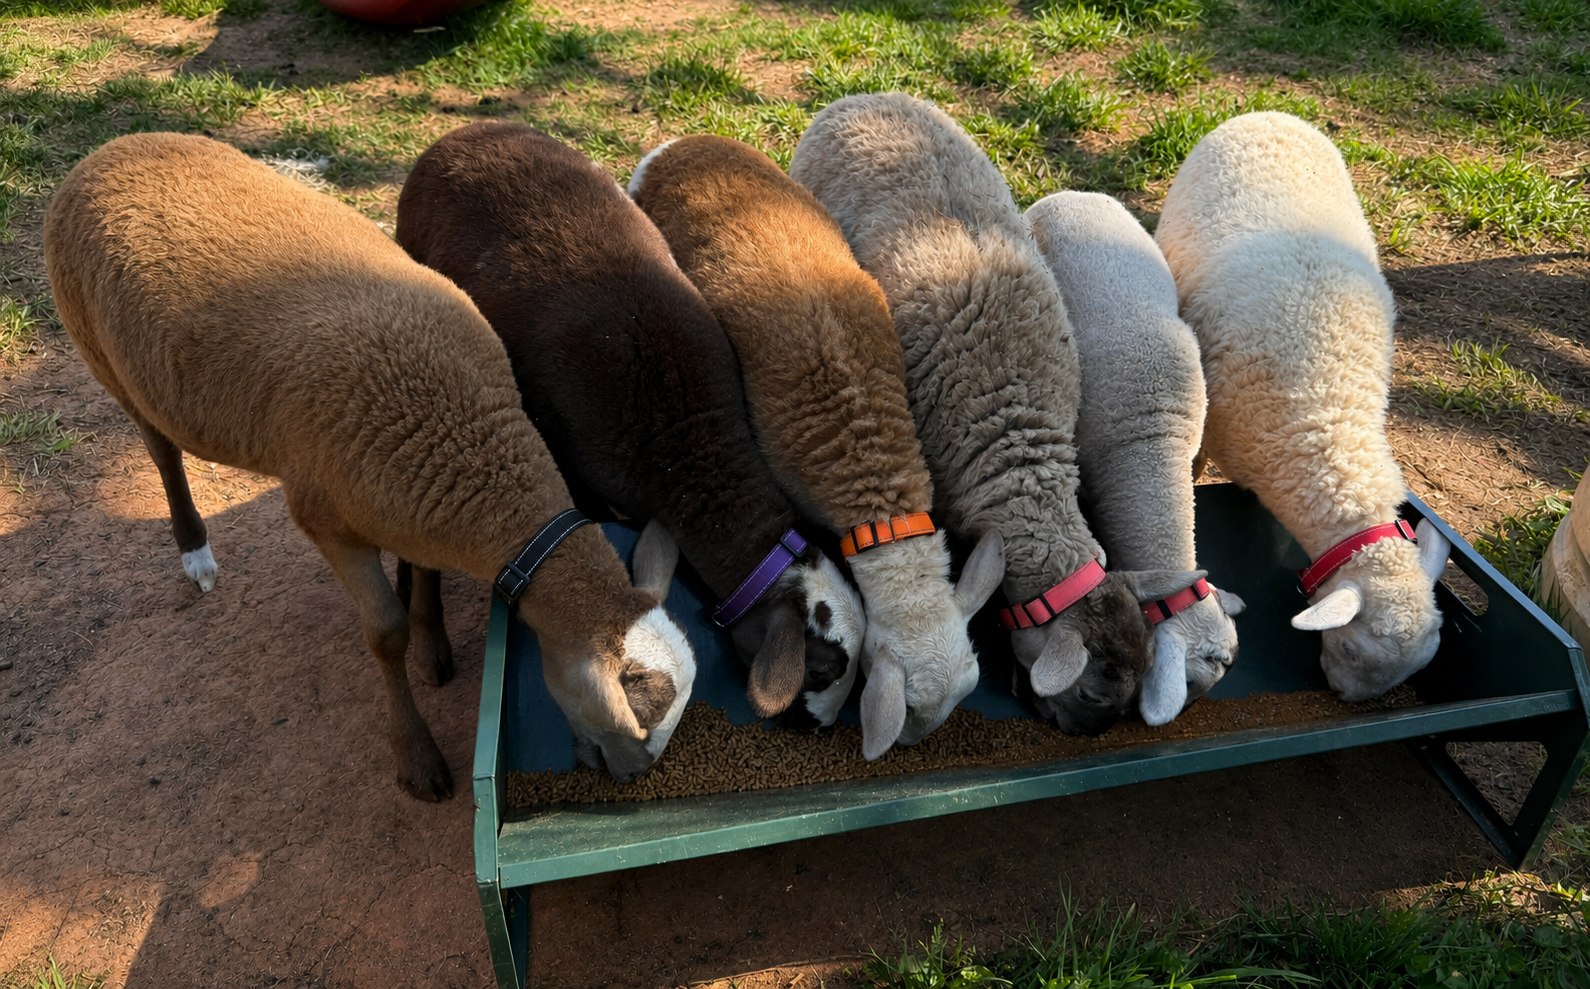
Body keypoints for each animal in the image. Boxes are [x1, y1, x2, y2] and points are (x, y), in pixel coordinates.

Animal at [42, 132, 697, 798]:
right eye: (630, 726)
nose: (630, 777)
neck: (469, 446)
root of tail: (115, 148)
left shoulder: (411, 495)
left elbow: (425, 574)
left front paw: (433, 647)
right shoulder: (326, 518)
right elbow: (385, 634)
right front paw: (418, 759)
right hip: (106, 359)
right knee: (162, 452)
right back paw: (194, 552)